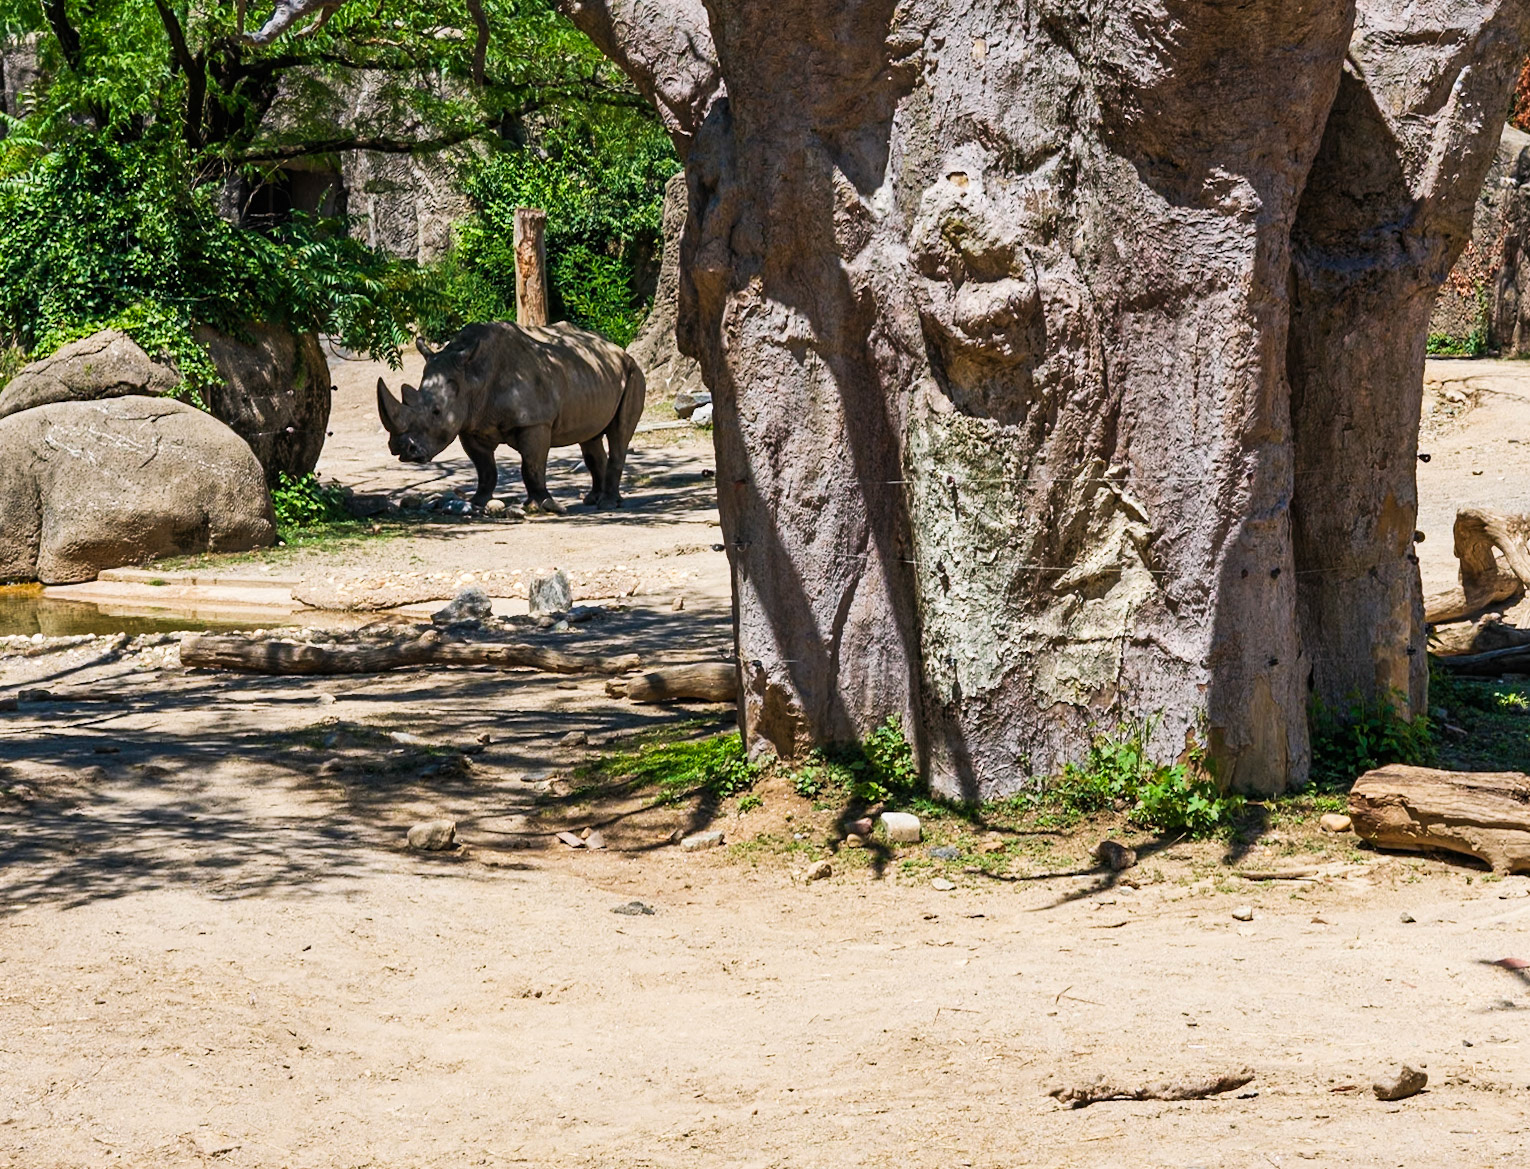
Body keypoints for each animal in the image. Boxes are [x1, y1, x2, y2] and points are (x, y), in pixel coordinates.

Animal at [377, 320, 646, 513]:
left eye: (436, 412)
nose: (402, 449)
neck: (472, 376)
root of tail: (619, 350)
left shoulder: (535, 422)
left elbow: (532, 466)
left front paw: (542, 506)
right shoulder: (470, 424)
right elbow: (485, 468)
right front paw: (477, 502)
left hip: (634, 372)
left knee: (619, 434)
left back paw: (608, 504)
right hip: (592, 374)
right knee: (590, 437)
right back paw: (593, 500)